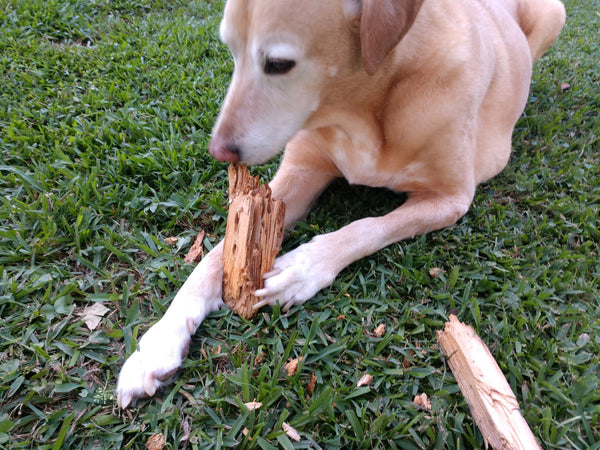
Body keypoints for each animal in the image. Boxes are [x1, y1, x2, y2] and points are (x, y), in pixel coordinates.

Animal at [115, 0, 564, 408]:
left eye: (278, 63)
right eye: (231, 51)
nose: (219, 153)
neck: (362, 105)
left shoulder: (450, 198)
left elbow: (367, 227)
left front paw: (301, 269)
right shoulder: (293, 179)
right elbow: (217, 254)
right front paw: (158, 341)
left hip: (553, 13)